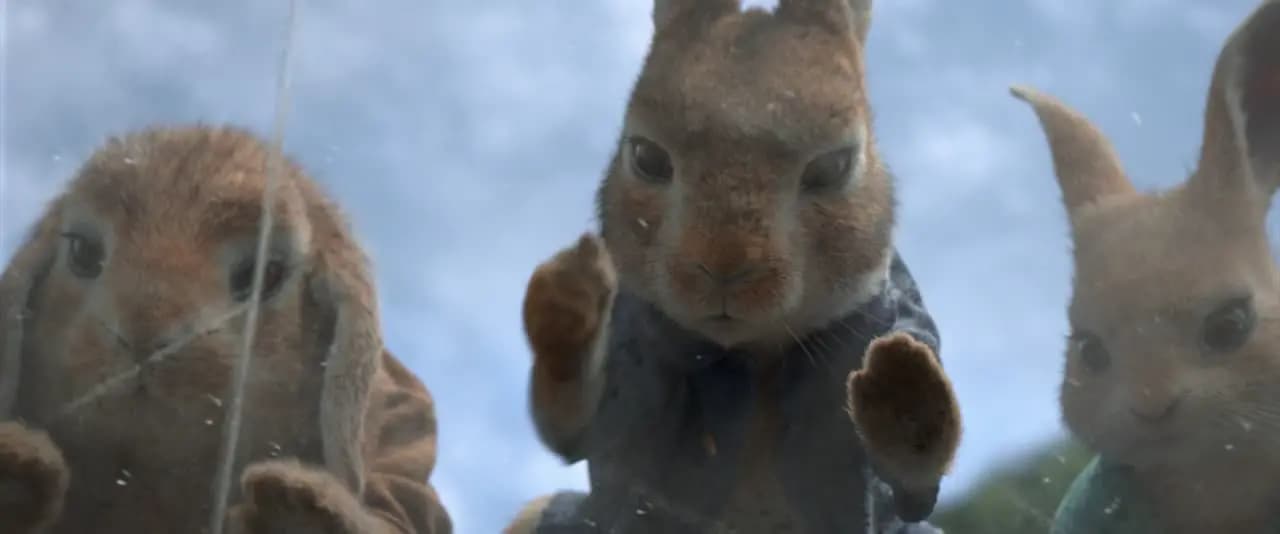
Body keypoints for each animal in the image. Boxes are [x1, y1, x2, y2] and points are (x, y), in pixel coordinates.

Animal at [504, 1, 962, 533]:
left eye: (835, 166)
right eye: (645, 156)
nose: (723, 269)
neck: (751, 353)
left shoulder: (898, 314)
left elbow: (907, 482)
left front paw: (906, 397)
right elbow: (583, 426)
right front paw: (566, 306)